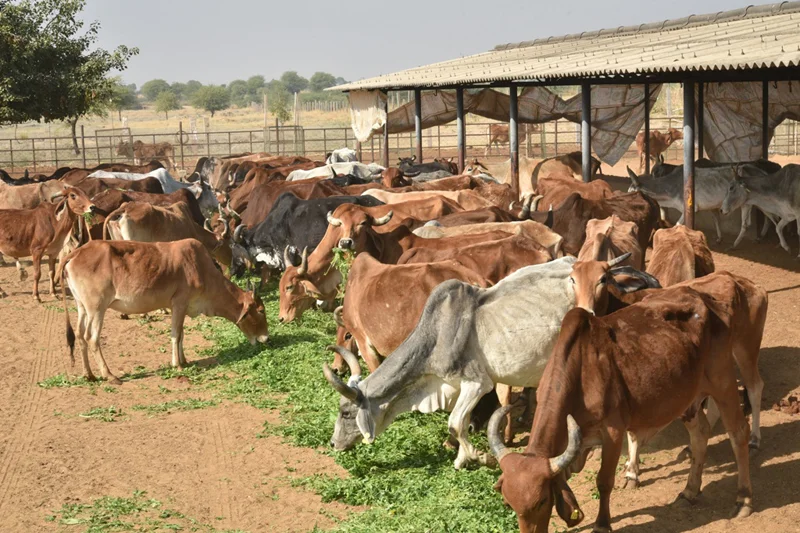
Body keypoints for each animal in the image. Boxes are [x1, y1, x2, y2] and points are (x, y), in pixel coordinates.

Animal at [61, 239, 269, 384]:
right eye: (261, 310)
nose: (266, 338)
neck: (200, 267)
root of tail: (76, 253)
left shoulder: (179, 307)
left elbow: (182, 334)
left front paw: (185, 360)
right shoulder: (179, 303)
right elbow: (176, 334)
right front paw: (177, 365)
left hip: (82, 307)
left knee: (79, 335)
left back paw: (89, 374)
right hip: (97, 308)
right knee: (92, 338)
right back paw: (109, 375)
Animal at [488, 270, 764, 532]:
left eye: (542, 501)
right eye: (509, 503)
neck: (580, 371)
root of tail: (713, 298)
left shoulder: (613, 431)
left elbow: (604, 481)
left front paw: (602, 523)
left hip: (724, 380)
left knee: (738, 431)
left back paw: (743, 499)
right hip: (687, 397)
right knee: (700, 435)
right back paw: (690, 491)